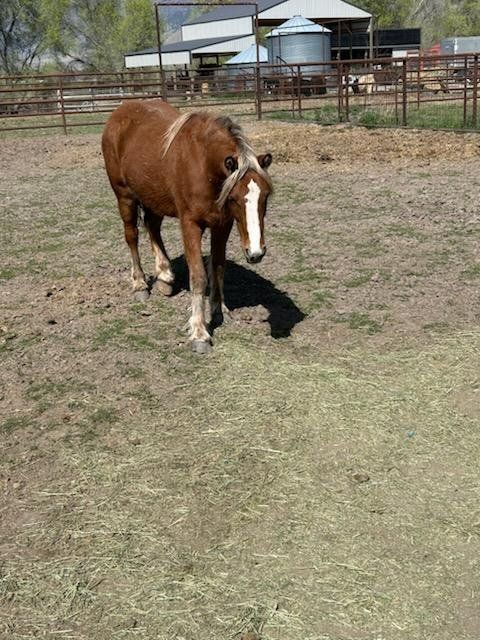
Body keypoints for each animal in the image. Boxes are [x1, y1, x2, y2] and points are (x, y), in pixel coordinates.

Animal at [101, 99, 273, 354]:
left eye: (266, 196)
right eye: (234, 198)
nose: (256, 253)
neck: (204, 166)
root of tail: (118, 113)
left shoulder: (222, 224)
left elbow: (218, 267)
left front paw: (219, 310)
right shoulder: (191, 225)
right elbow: (198, 276)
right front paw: (199, 332)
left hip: (153, 198)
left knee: (153, 228)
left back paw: (165, 276)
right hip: (125, 197)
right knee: (132, 236)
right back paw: (140, 284)